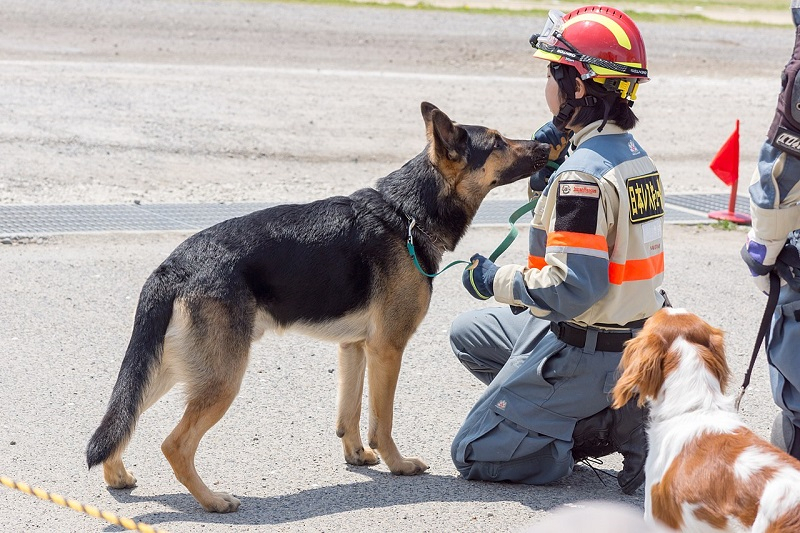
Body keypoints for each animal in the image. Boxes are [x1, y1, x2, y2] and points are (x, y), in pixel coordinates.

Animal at [87, 101, 552, 512]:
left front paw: (357, 456)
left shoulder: (356, 348)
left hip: (171, 368)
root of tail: (174, 265)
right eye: (497, 142)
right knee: (174, 444)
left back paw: (117, 475)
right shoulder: (387, 349)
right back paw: (213, 500)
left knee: (121, 415)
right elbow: (382, 420)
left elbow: (350, 411)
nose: (545, 146)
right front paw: (398, 465)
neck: (407, 212)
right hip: (222, 378)